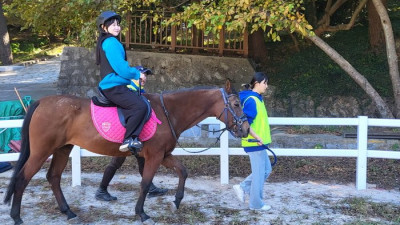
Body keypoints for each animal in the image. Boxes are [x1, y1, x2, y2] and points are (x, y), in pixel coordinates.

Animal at [3, 81, 250, 225]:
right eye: (237, 104)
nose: (246, 129)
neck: (168, 111)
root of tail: (42, 102)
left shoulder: (163, 155)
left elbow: (183, 171)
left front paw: (177, 200)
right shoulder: (154, 157)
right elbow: (145, 183)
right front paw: (141, 213)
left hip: (63, 149)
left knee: (53, 177)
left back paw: (68, 212)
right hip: (41, 152)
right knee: (23, 178)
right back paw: (16, 216)